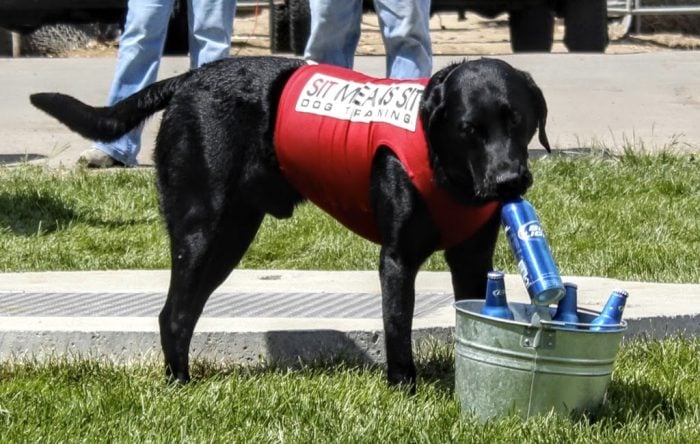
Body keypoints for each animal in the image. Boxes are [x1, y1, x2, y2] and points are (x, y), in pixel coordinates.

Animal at [30, 55, 548, 388]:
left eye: (516, 119)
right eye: (469, 129)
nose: (509, 181)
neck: (447, 170)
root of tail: (189, 78)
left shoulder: (473, 259)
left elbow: (471, 319)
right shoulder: (397, 259)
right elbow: (398, 327)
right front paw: (405, 389)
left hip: (231, 236)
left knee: (183, 309)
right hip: (201, 229)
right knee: (174, 313)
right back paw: (179, 385)